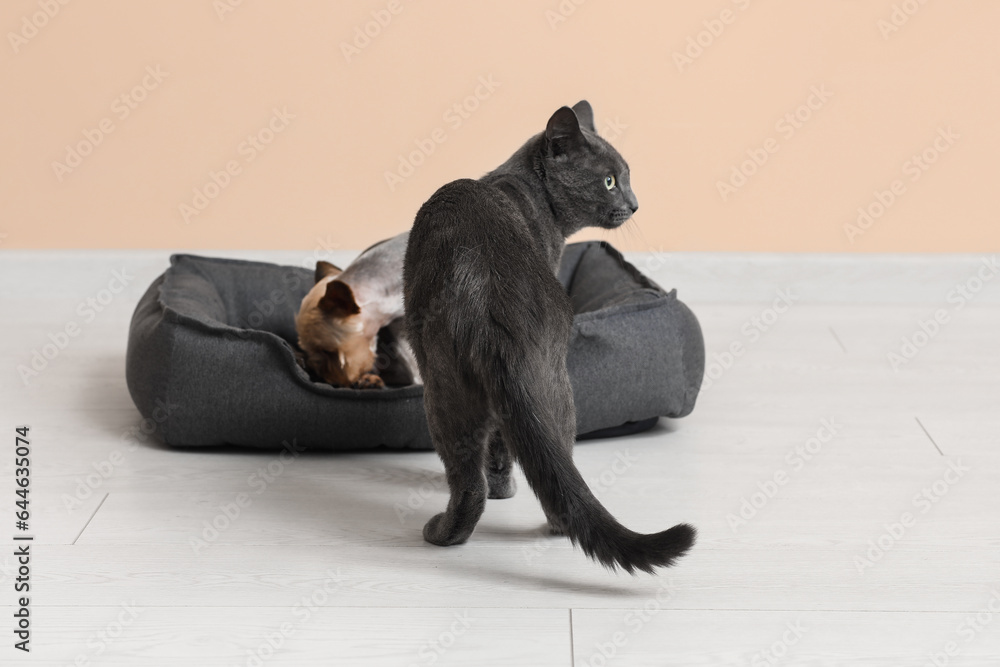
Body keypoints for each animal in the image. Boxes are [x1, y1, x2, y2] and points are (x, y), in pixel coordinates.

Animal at [400, 99, 696, 576]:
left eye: (626, 177)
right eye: (610, 181)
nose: (635, 204)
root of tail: (488, 295)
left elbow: (499, 449)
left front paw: (504, 488)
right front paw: (505, 488)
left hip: (446, 383)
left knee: (474, 476)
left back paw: (446, 531)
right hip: (542, 385)